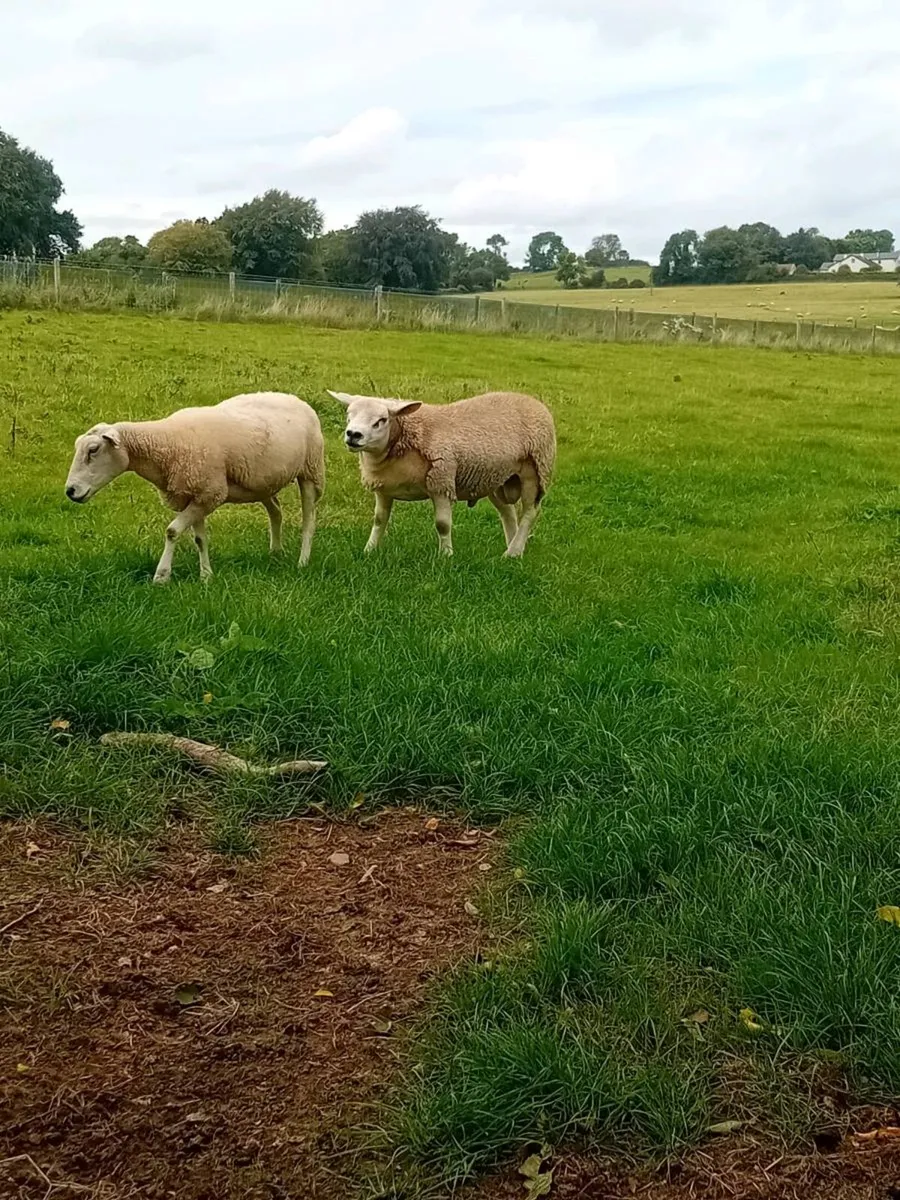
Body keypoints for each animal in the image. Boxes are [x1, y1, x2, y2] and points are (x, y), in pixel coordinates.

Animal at [64, 391, 325, 583]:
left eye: (93, 450)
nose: (70, 491)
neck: (166, 445)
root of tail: (295, 398)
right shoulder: (195, 493)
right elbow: (200, 539)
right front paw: (206, 576)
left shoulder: (210, 493)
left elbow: (172, 531)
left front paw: (161, 576)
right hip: (261, 482)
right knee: (276, 512)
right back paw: (275, 553)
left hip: (311, 470)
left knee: (309, 521)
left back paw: (302, 561)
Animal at [328, 389, 555, 558]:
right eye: (348, 416)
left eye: (381, 420)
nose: (353, 434)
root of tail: (533, 400)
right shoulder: (384, 488)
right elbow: (379, 520)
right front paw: (370, 549)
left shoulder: (441, 481)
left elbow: (443, 525)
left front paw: (446, 555)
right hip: (496, 478)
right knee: (508, 513)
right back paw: (513, 548)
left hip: (536, 470)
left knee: (530, 512)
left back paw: (514, 551)